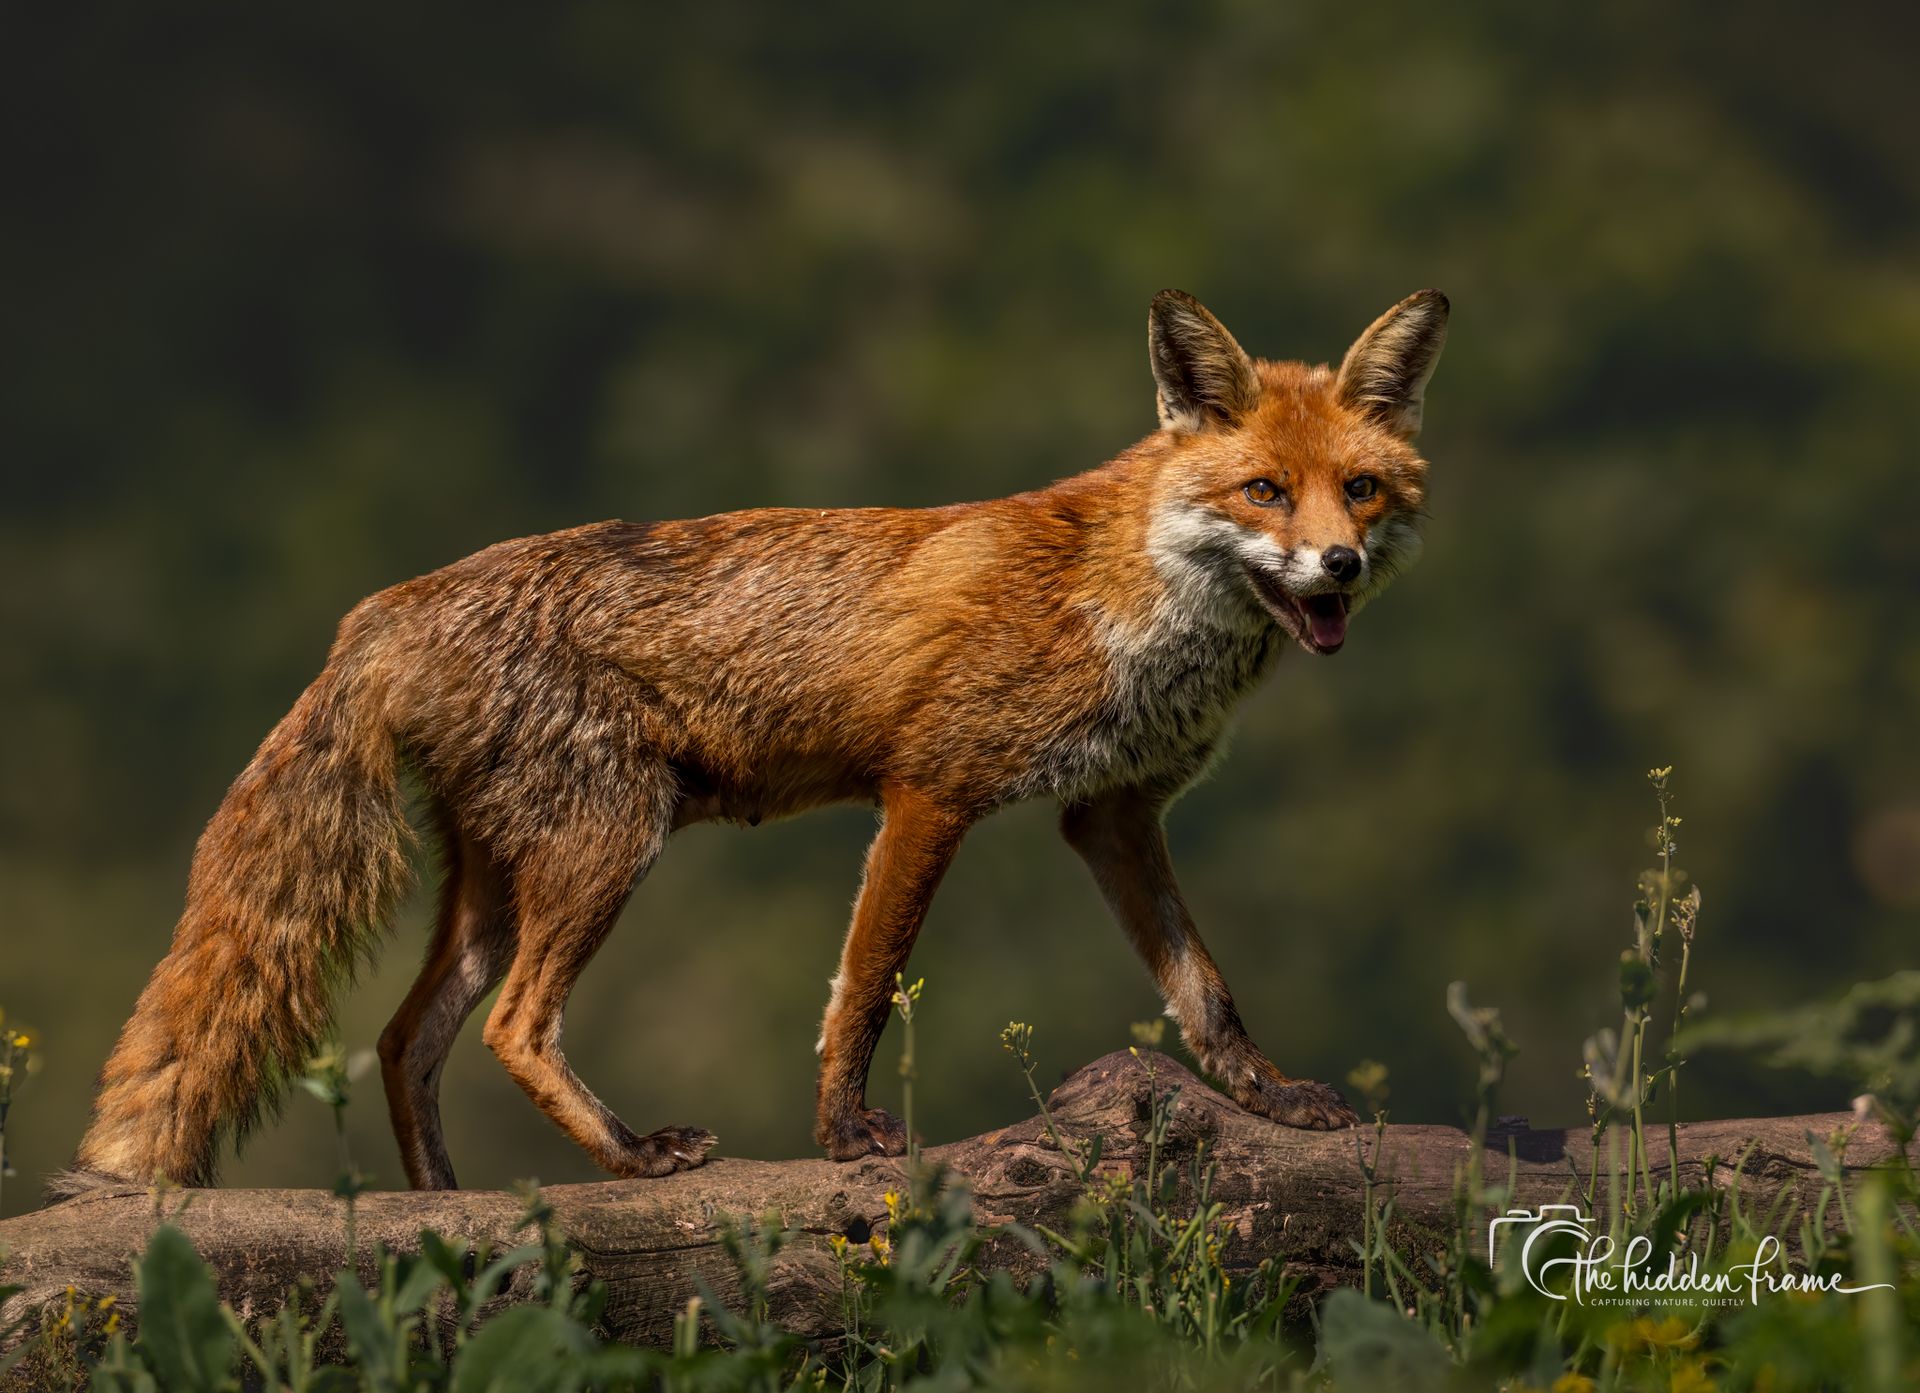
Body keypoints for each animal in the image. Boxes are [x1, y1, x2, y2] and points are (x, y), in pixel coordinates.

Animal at [61, 287, 1447, 1196]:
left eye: (1361, 490)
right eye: (1263, 491)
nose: (1337, 565)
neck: (1130, 602)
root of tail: (388, 604)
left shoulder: (1111, 812)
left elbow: (1205, 991)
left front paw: (1269, 1098)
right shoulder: (931, 789)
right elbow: (866, 985)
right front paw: (842, 1137)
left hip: (504, 879)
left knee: (407, 1041)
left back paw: (442, 1205)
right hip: (606, 846)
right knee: (511, 1028)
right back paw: (630, 1157)